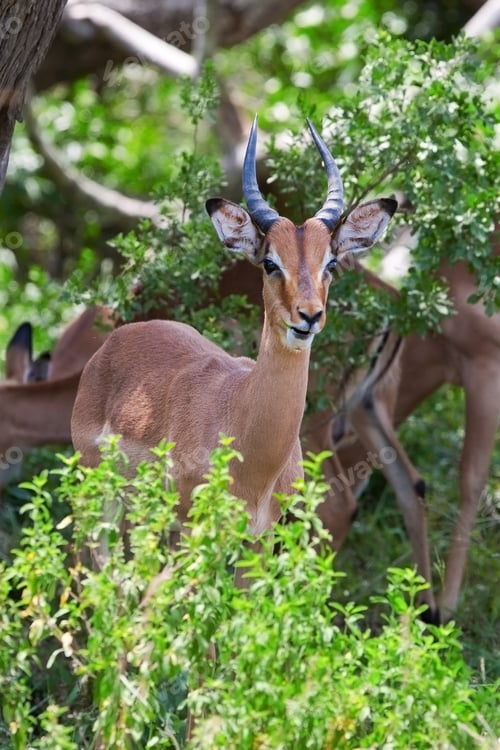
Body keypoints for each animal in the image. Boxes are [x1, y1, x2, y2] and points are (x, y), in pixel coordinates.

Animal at [71, 117, 397, 540]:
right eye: (270, 263)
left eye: (330, 263)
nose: (308, 316)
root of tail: (115, 340)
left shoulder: (260, 538)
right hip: (100, 502)